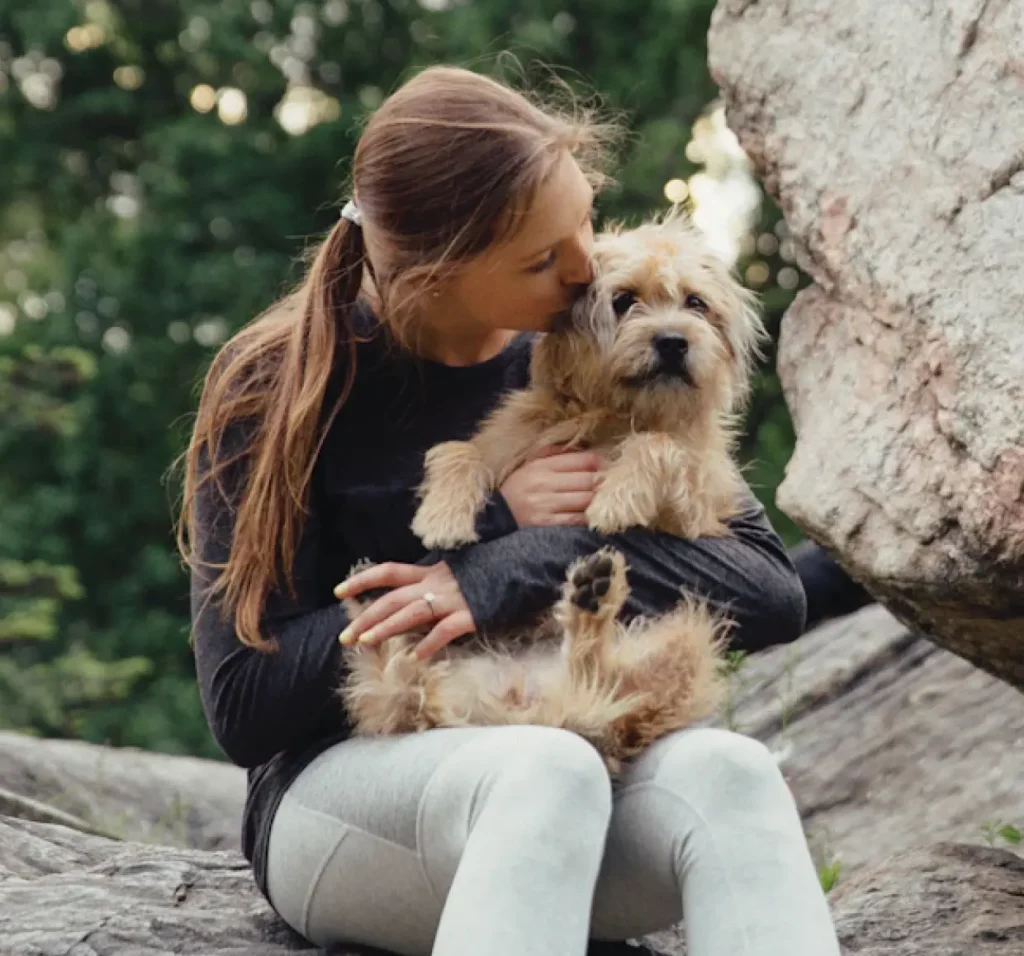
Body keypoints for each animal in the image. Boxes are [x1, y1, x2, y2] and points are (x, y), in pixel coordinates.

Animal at [338, 210, 767, 774]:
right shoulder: (509, 436)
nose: (674, 341)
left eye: (696, 303)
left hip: (683, 642)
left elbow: (660, 446)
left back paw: (592, 597)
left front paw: (615, 499)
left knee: (603, 678)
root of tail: (530, 703)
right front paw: (443, 517)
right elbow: (462, 451)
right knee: (401, 690)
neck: (614, 413)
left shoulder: (693, 514)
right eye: (623, 299)